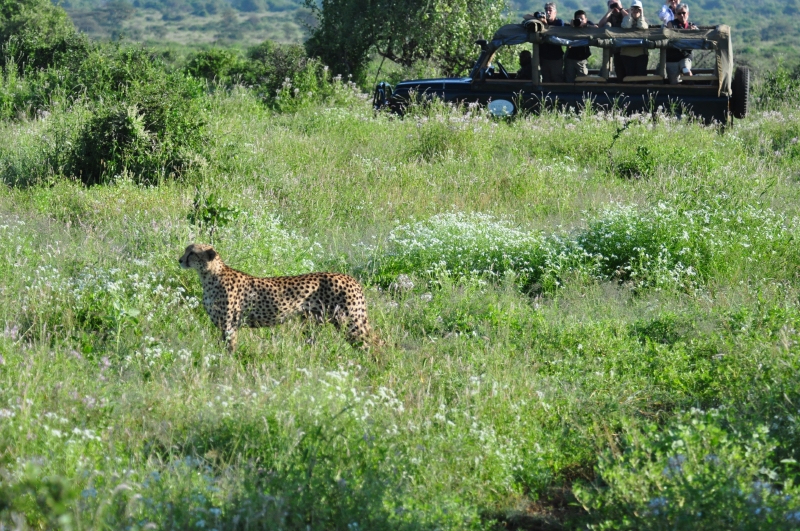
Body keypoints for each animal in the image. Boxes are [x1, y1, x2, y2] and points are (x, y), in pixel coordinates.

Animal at [179, 243, 379, 352]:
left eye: (192, 253)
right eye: (186, 250)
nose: (180, 260)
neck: (209, 275)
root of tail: (350, 277)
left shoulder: (229, 326)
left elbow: (229, 350)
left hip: (350, 322)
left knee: (375, 343)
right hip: (315, 322)